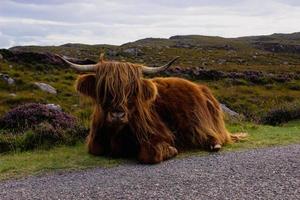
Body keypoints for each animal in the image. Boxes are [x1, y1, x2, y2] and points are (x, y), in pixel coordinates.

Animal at [58, 54, 244, 163]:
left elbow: (148, 154)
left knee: (213, 134)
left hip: (198, 121)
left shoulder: (160, 133)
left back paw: (214, 145)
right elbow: (95, 149)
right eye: (103, 88)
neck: (116, 133)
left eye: (132, 90)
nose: (117, 115)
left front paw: (171, 150)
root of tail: (201, 87)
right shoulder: (94, 140)